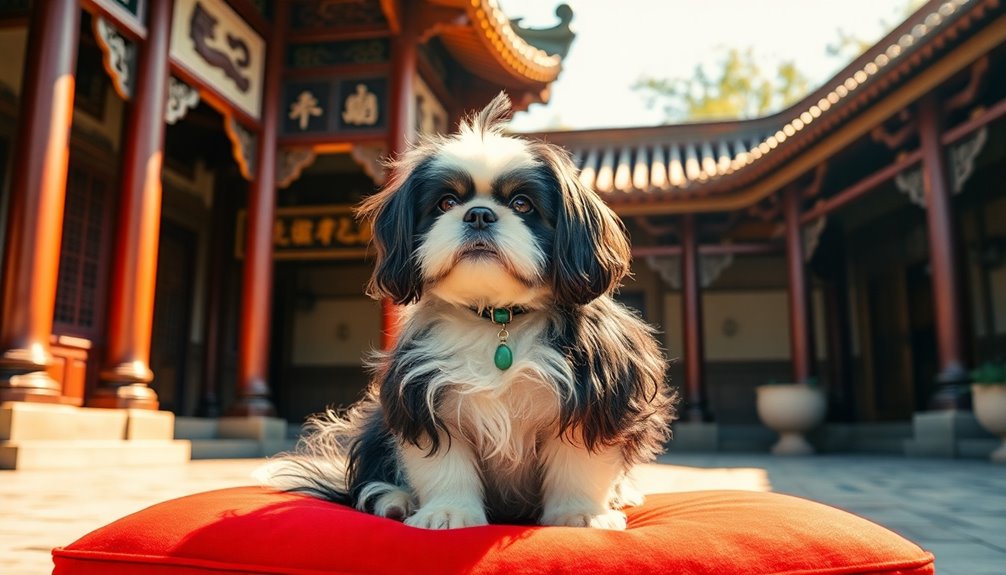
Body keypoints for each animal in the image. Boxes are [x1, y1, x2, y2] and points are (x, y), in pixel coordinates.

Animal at [255, 92, 676, 530]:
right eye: (447, 202)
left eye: (522, 204)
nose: (478, 214)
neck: (496, 319)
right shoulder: (422, 397)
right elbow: (444, 466)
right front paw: (448, 512)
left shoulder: (595, 394)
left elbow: (578, 464)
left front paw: (579, 514)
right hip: (376, 420)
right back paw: (394, 500)